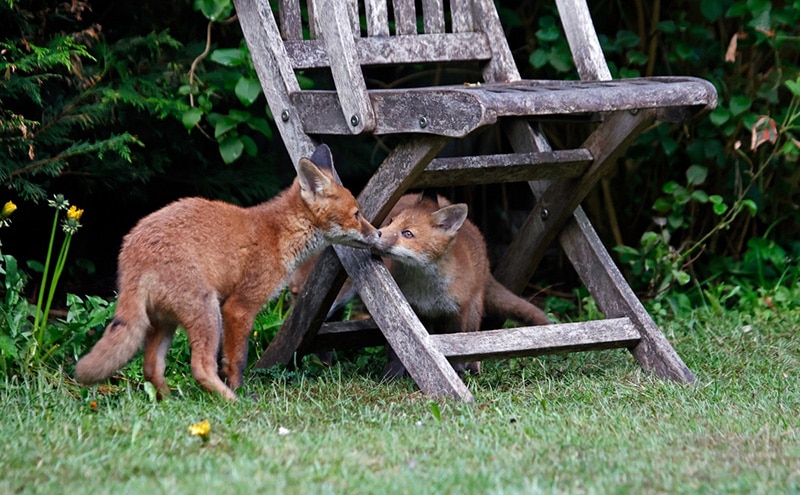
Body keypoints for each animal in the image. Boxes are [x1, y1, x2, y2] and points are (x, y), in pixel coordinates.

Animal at [74, 144, 379, 401]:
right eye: (357, 214)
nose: (377, 233)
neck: (279, 234)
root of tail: (132, 250)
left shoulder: (226, 307)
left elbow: (226, 360)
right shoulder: (238, 307)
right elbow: (237, 360)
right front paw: (240, 390)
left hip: (165, 322)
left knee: (151, 367)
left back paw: (170, 402)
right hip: (206, 312)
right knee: (199, 368)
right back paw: (231, 401)